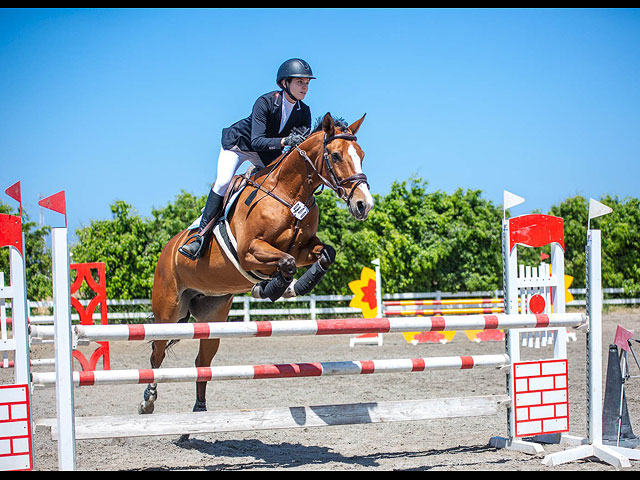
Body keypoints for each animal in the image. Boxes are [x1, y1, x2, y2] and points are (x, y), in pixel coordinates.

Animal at [138, 111, 372, 416]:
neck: (289, 193)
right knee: (157, 353)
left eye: (361, 155)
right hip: (167, 310)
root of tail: (167, 250)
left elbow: (324, 254)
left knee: (202, 363)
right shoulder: (249, 251)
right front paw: (270, 289)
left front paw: (294, 287)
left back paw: (199, 411)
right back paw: (148, 400)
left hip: (213, 317)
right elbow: (285, 263)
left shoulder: (302, 249)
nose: (363, 205)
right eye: (335, 155)